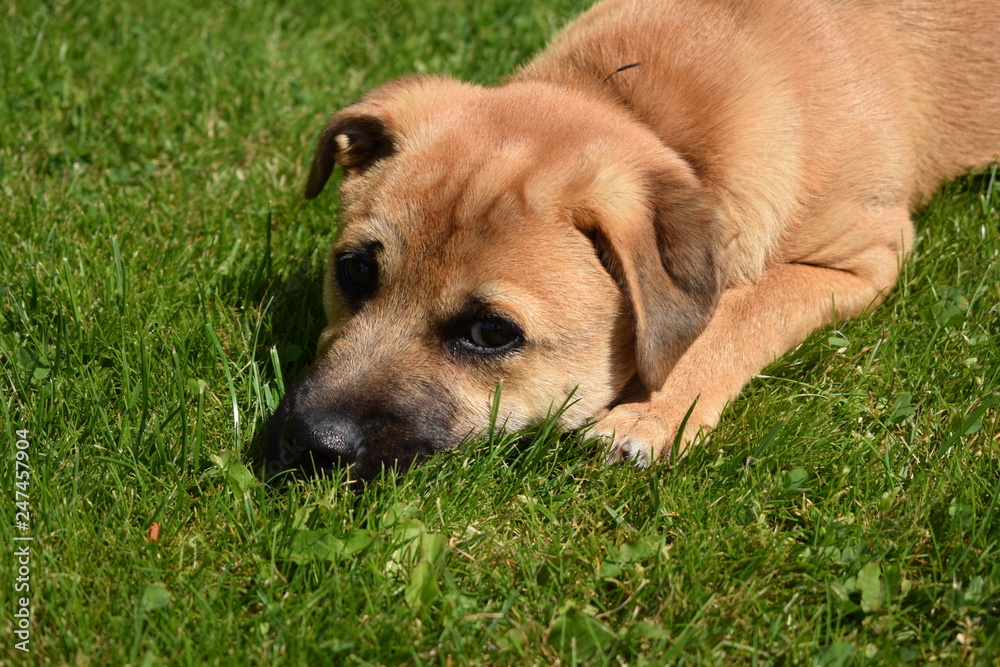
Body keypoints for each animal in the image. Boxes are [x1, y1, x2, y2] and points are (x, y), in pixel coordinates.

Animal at [262, 0, 996, 482]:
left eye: (492, 333)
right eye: (354, 271)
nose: (308, 443)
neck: (639, 100)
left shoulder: (865, 254)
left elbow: (738, 311)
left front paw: (646, 415)